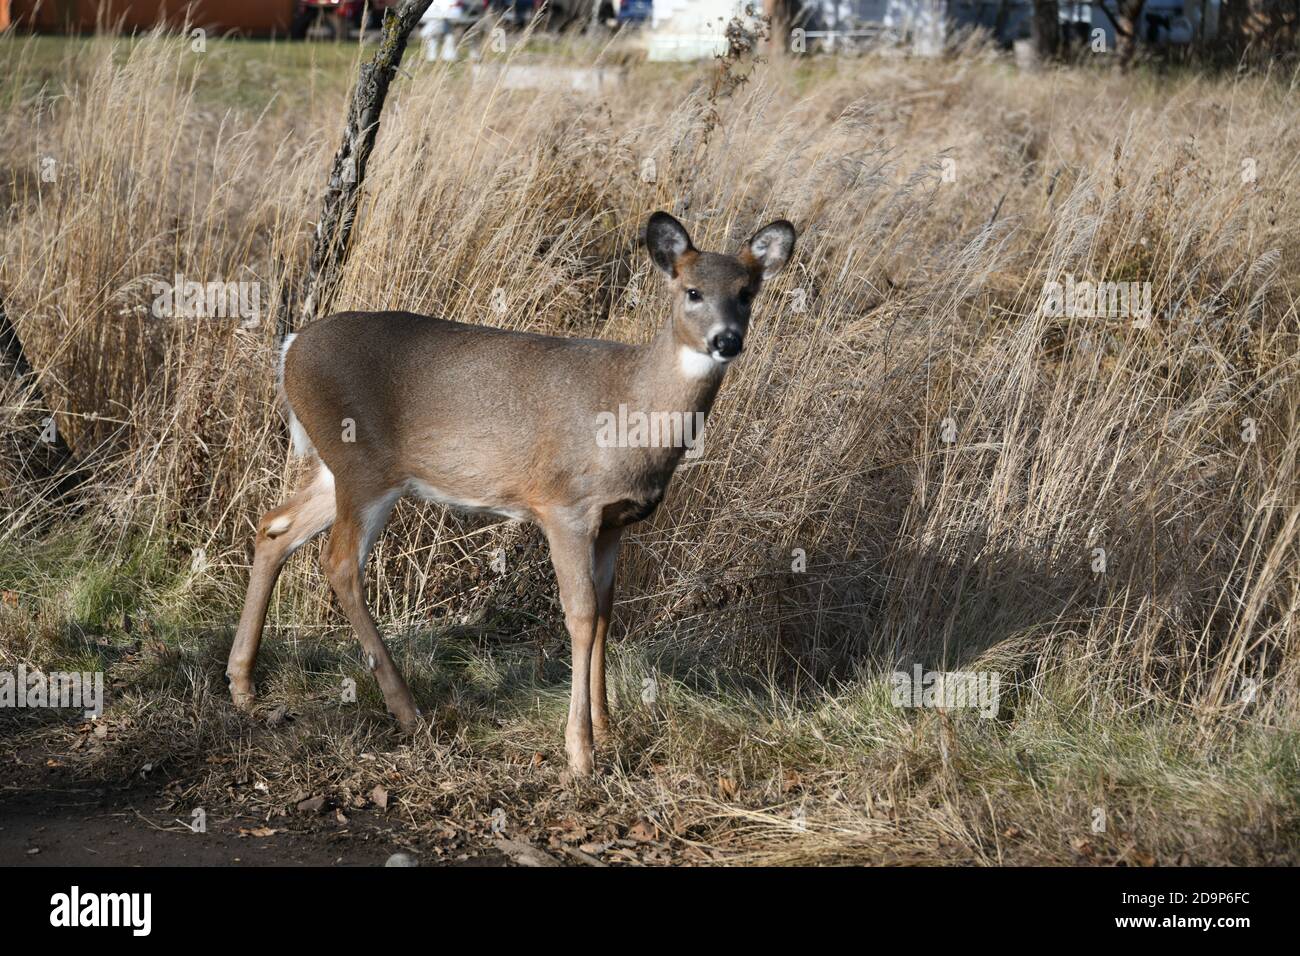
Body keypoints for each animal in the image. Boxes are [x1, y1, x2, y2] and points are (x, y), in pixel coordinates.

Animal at [228, 210, 795, 780]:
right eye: (692, 291)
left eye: (747, 292)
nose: (727, 340)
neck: (631, 408)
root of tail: (289, 350)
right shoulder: (565, 506)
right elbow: (580, 614)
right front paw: (581, 753)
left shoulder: (614, 522)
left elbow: (606, 612)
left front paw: (607, 728)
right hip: (363, 468)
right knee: (339, 562)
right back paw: (406, 709)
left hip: (339, 472)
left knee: (274, 527)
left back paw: (242, 684)